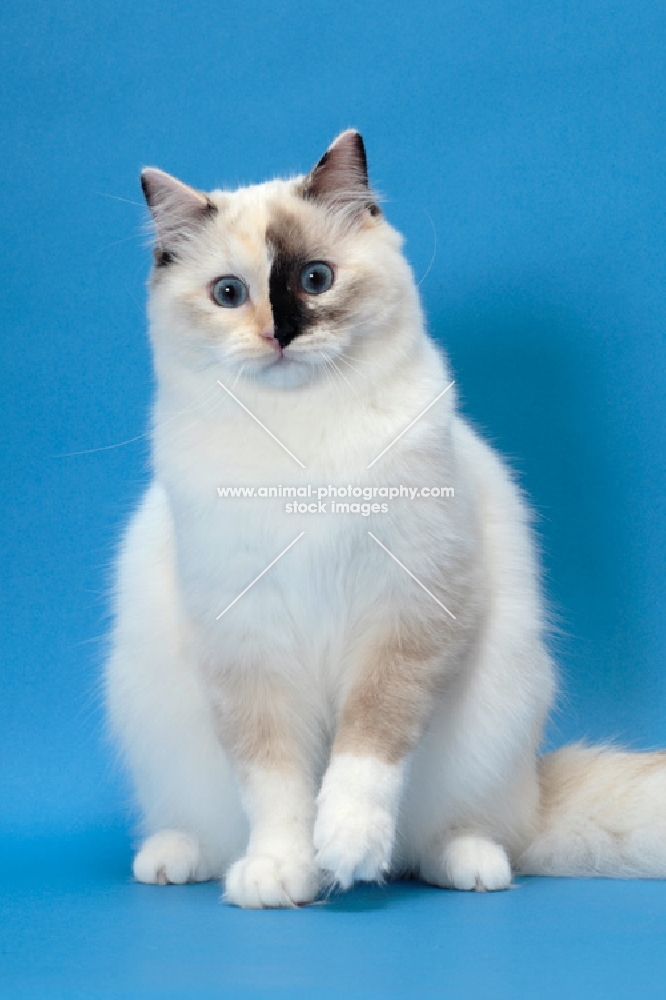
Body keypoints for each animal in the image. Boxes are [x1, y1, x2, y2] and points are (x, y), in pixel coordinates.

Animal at [106, 127, 664, 908]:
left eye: (315, 280)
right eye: (229, 295)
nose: (279, 335)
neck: (298, 443)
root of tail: (533, 791)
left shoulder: (408, 613)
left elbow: (365, 753)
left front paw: (342, 848)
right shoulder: (247, 644)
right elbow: (275, 782)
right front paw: (283, 871)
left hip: (495, 724)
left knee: (455, 839)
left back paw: (463, 866)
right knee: (203, 827)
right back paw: (172, 859)